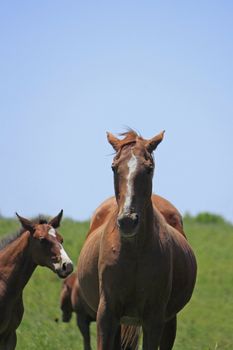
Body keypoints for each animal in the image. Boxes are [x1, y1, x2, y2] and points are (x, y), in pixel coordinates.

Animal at [78, 131, 197, 350]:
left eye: (149, 168)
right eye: (114, 167)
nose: (127, 221)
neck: (133, 253)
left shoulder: (154, 318)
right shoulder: (106, 315)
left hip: (169, 321)